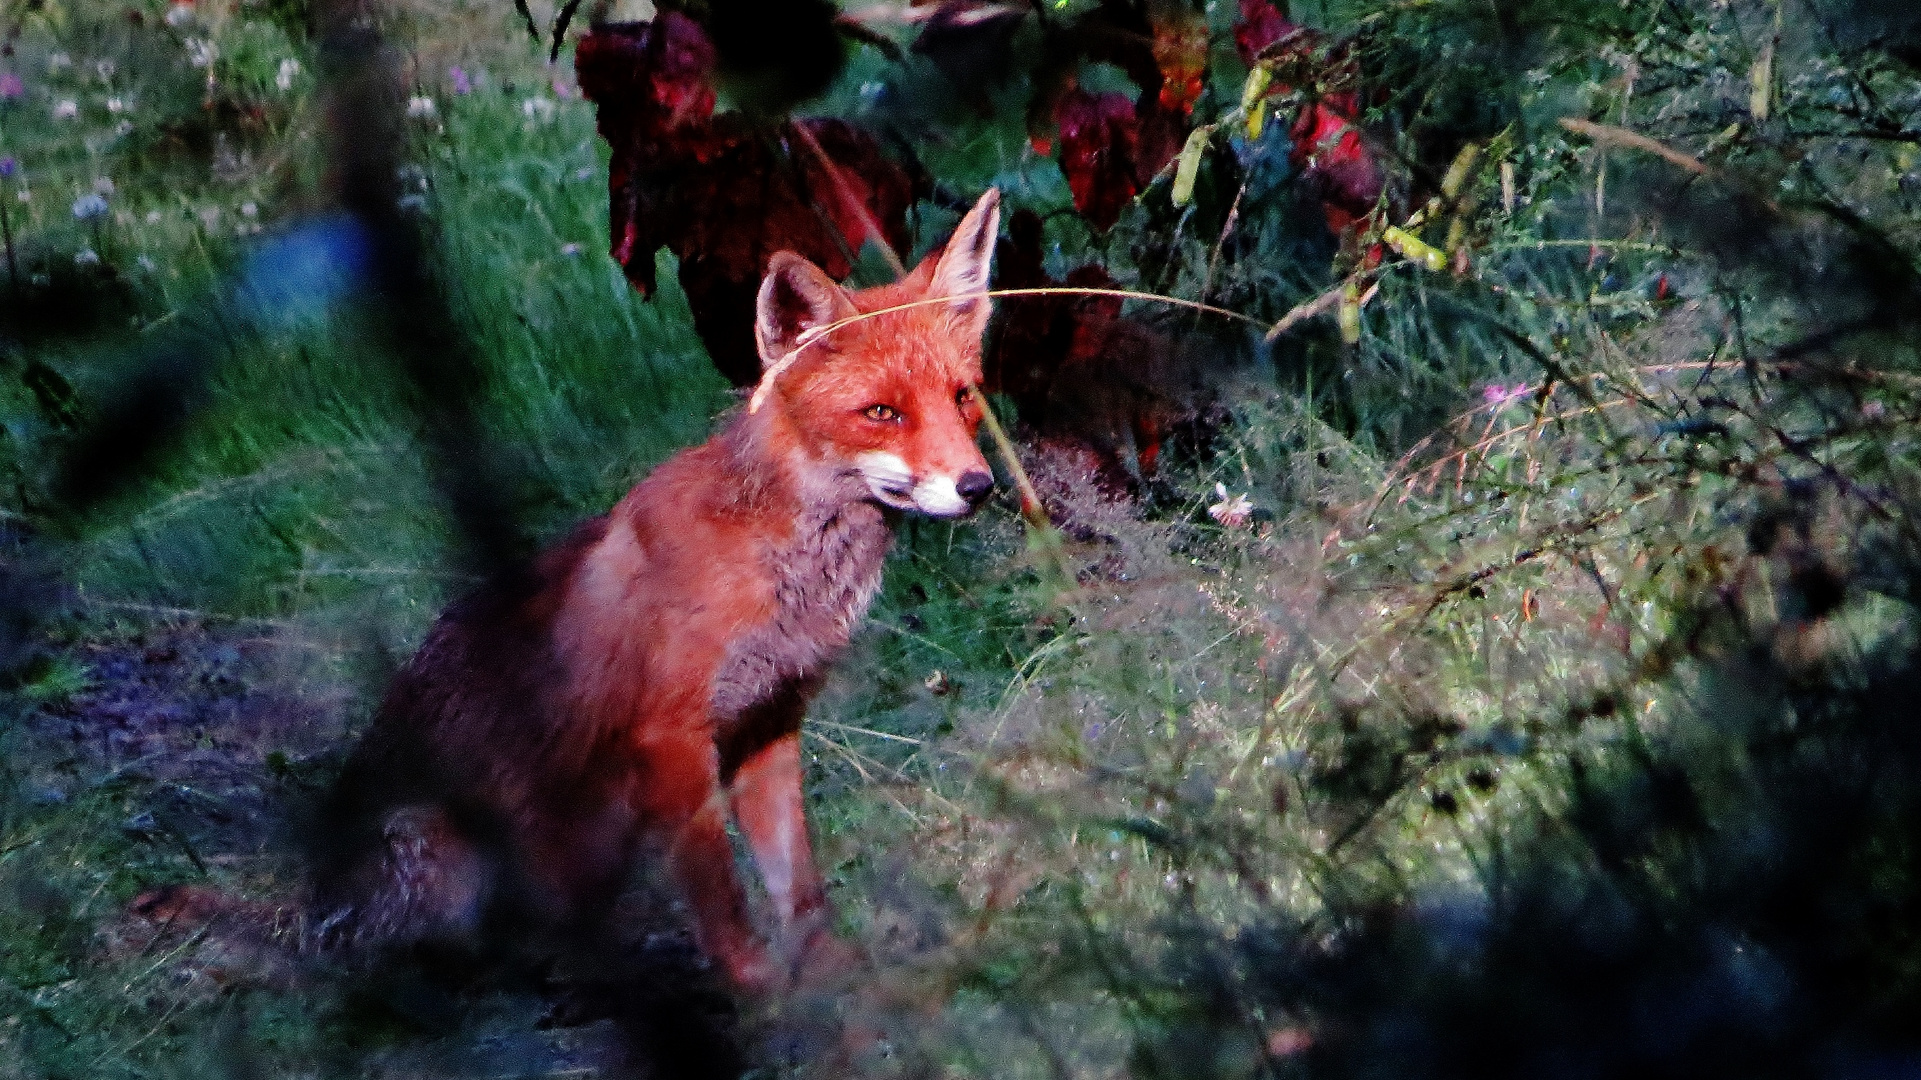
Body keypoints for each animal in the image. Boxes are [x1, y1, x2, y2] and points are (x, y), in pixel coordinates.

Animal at [311, 189, 1006, 991]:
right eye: (882, 413)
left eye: (962, 398)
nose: (978, 486)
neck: (778, 577)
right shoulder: (671, 740)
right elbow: (720, 893)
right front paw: (757, 989)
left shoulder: (770, 724)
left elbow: (796, 883)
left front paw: (830, 973)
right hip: (447, 860)